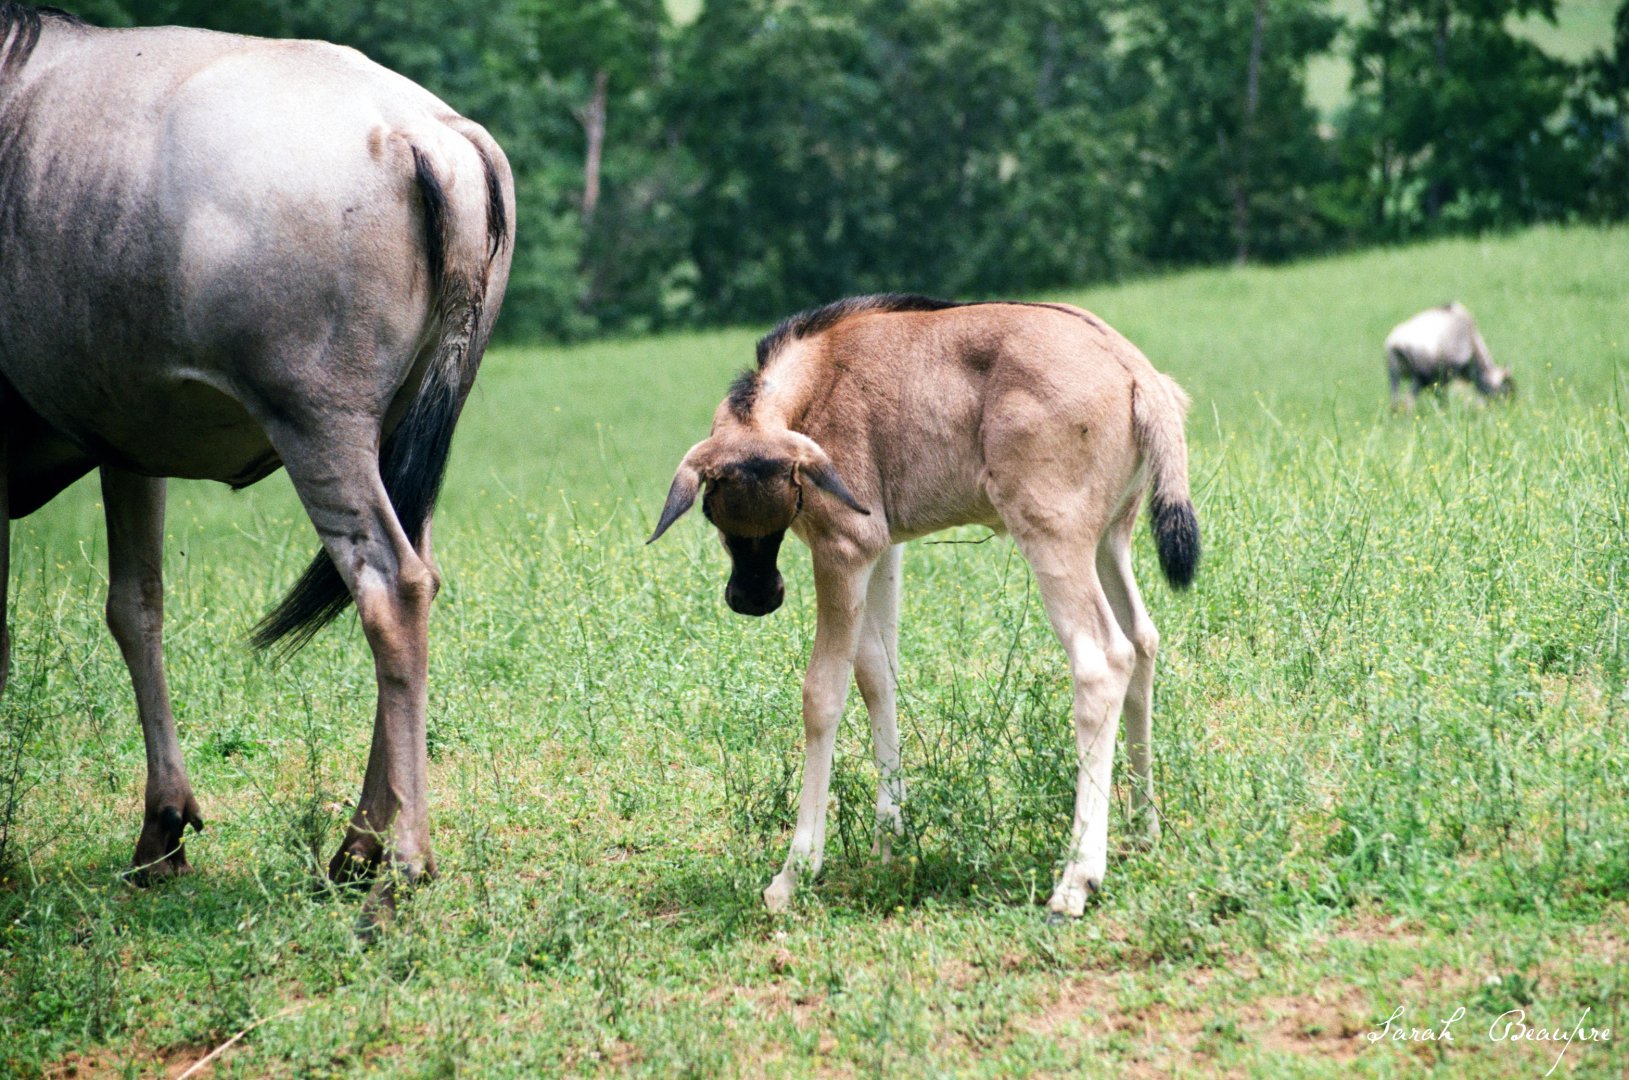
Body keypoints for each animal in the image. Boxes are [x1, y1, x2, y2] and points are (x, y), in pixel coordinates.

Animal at [648, 294, 1200, 919]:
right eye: (713, 509)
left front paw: (795, 872)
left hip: (1053, 535)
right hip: (1111, 538)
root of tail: (1137, 372)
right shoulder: (883, 548)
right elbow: (877, 673)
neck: (815, 380)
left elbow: (823, 694)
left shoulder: (843, 550)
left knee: (1103, 659)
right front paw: (890, 840)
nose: (754, 598)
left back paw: (1077, 878)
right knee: (1143, 640)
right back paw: (1142, 828)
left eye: (790, 501)